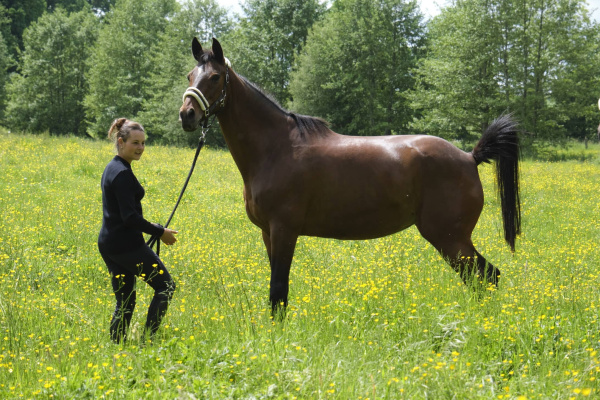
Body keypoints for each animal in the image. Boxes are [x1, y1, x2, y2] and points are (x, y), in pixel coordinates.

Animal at [178, 37, 520, 312]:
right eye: (190, 75)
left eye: (215, 77)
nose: (187, 115)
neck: (276, 147)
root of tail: (469, 157)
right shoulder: (268, 233)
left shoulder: (284, 230)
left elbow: (279, 289)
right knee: (484, 277)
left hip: (450, 238)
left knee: (486, 276)